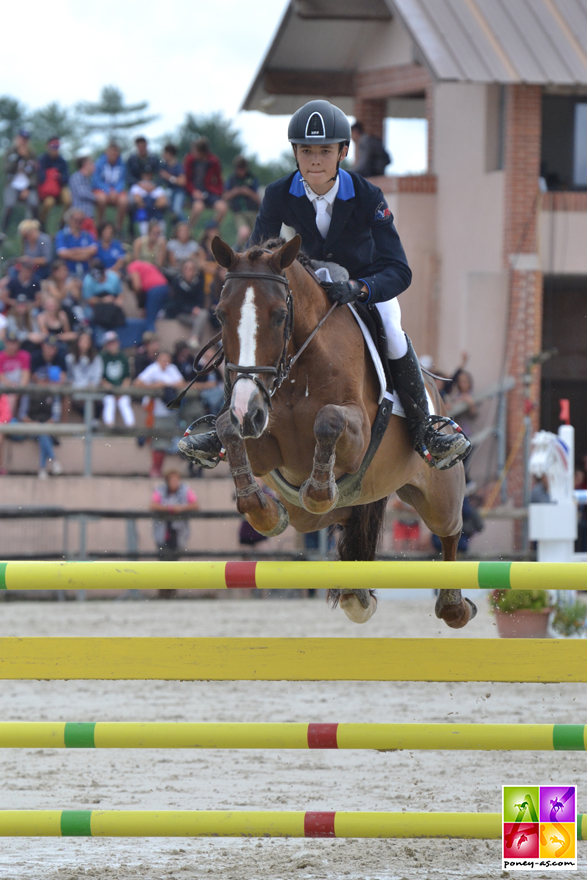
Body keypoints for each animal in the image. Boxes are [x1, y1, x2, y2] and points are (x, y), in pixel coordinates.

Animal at [209, 237, 476, 628]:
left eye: (279, 315)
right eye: (220, 314)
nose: (247, 409)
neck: (298, 367)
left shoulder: (357, 433)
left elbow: (328, 420)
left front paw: (318, 490)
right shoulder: (263, 443)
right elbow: (228, 431)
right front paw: (266, 513)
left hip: (438, 495)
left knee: (450, 530)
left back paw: (454, 607)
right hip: (315, 515)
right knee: (335, 518)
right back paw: (355, 593)